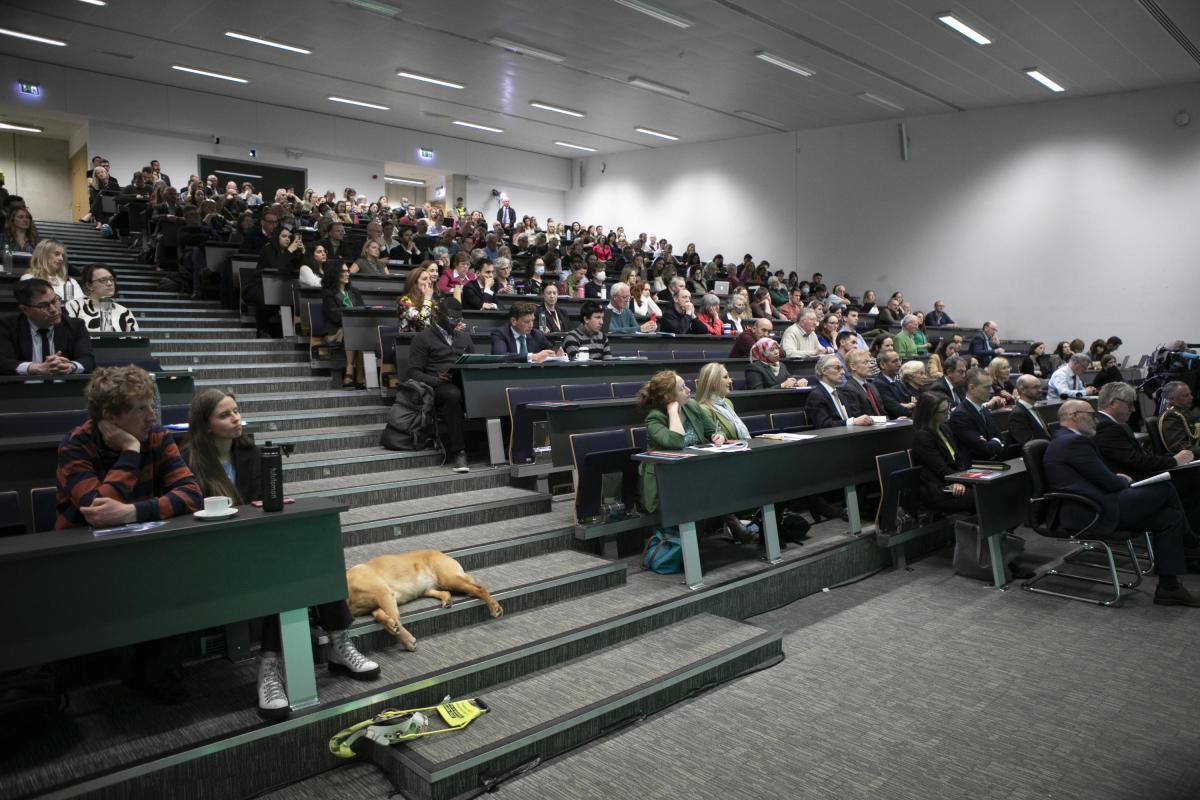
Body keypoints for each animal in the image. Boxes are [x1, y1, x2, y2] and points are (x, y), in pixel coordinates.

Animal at [348, 546, 501, 652]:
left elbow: (395, 618)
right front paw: (393, 628)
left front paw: (406, 639)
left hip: (449, 579)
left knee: (479, 588)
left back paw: (494, 607)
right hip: (430, 589)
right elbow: (380, 617)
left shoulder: (384, 593)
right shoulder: (376, 606)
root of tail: (441, 553)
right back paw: (447, 600)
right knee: (447, 591)